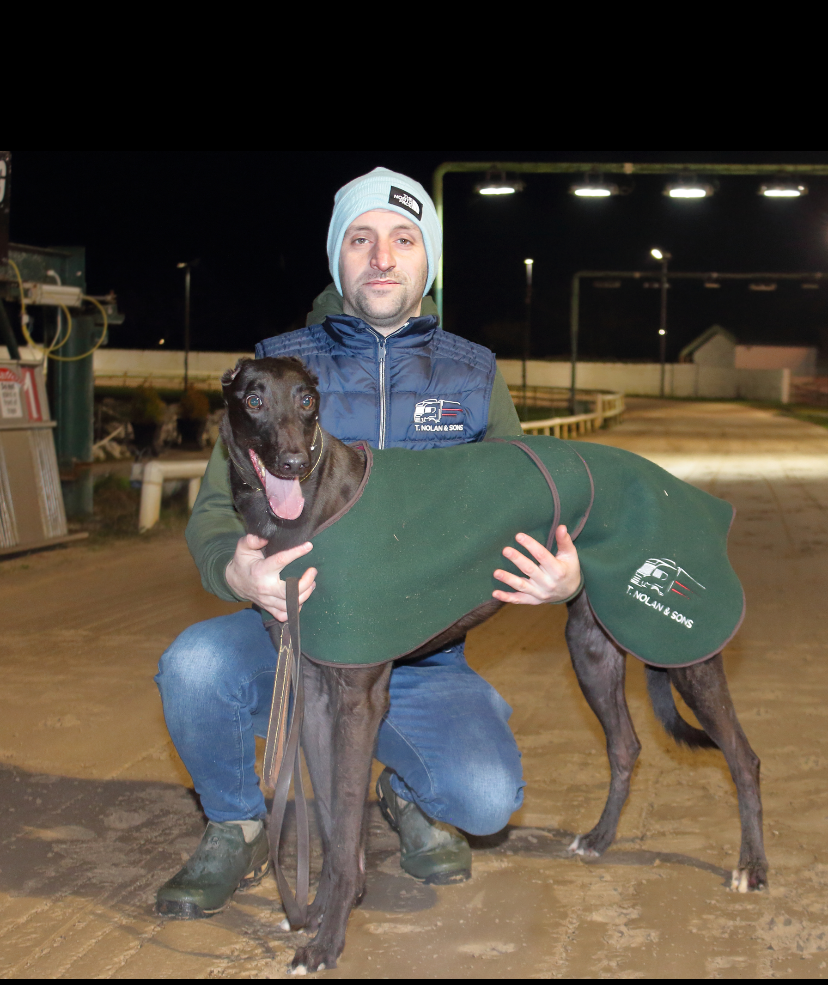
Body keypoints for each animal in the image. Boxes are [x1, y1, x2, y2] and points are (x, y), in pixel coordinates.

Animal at [219, 356, 767, 974]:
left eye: (308, 399)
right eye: (254, 399)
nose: (292, 460)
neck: (311, 509)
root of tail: (692, 496)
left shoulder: (358, 698)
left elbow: (343, 825)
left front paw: (328, 938)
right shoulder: (312, 689)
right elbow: (337, 830)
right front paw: (319, 914)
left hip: (687, 658)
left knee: (743, 758)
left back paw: (752, 868)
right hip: (592, 647)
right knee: (626, 746)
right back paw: (599, 840)